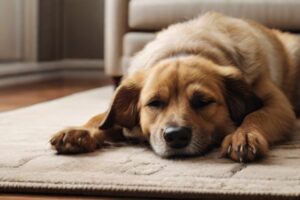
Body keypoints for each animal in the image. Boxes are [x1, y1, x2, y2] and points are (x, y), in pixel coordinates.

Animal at [49, 12, 298, 162]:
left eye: (203, 102)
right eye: (154, 103)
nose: (176, 136)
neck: (185, 48)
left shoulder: (278, 105)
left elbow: (256, 115)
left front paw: (243, 135)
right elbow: (101, 118)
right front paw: (80, 131)